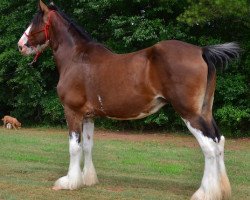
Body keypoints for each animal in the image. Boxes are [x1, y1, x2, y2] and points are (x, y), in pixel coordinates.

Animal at [17, 0, 240, 199]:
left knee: (209, 147)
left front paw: (70, 182)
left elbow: (74, 147)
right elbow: (87, 146)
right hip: (205, 111)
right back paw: (221, 191)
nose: (20, 45)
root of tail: (201, 51)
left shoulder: (72, 111)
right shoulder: (89, 116)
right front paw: (87, 180)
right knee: (219, 142)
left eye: (35, 21)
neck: (76, 58)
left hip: (190, 114)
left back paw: (205, 193)